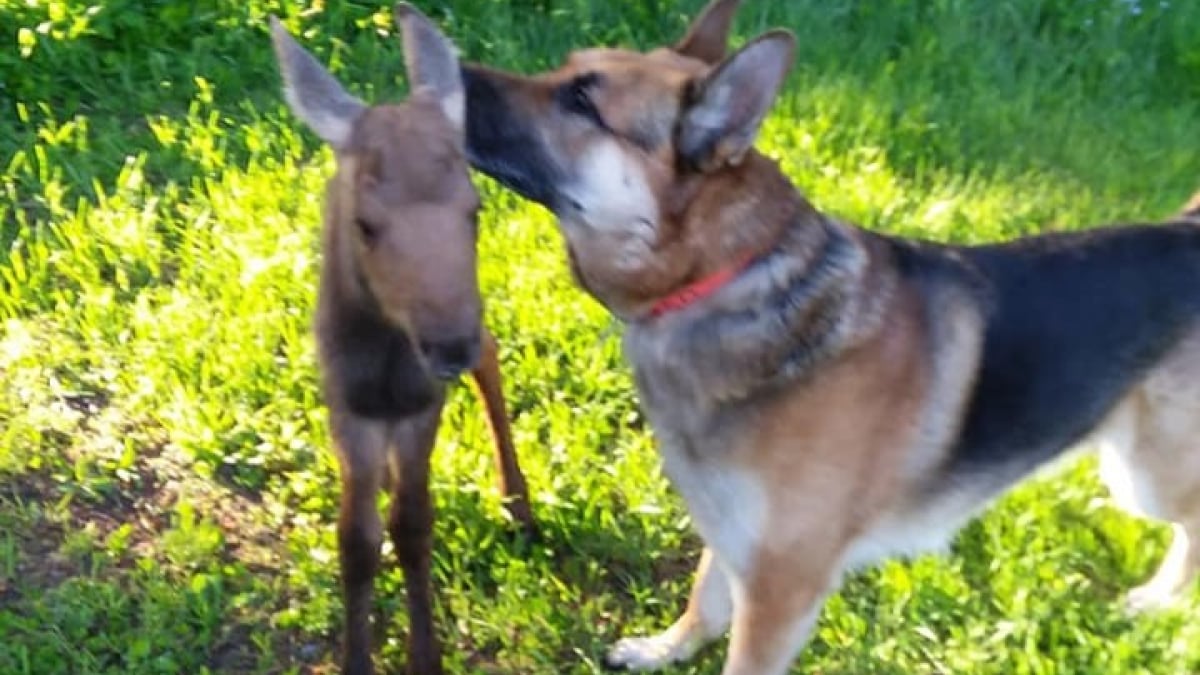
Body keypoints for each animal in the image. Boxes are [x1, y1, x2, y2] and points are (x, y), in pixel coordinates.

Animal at [463, 2, 1200, 667]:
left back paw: (1156, 600)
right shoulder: (734, 538)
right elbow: (703, 599)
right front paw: (664, 649)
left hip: (1144, 476)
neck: (734, 274)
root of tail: (1188, 229)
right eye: (565, 70)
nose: (453, 65)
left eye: (580, 100)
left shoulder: (782, 590)